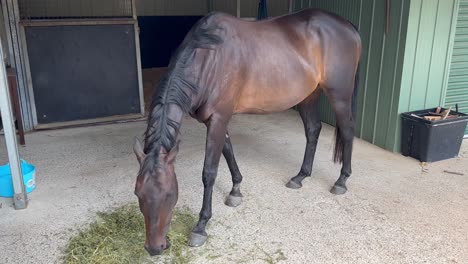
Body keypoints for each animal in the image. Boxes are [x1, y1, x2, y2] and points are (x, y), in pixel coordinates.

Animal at [133, 8, 360, 256]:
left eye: (170, 194)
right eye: (138, 193)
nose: (155, 248)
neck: (209, 57)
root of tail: (349, 26)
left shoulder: (219, 118)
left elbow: (209, 172)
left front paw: (201, 226)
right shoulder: (214, 120)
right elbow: (228, 151)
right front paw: (236, 190)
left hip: (339, 95)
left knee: (347, 131)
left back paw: (341, 181)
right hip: (309, 95)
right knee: (313, 130)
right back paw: (300, 176)